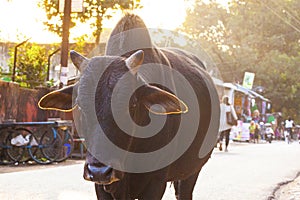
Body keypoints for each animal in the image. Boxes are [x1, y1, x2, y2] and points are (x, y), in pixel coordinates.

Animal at [38, 13, 219, 199]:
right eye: (80, 104)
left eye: (132, 104)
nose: (99, 171)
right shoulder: (101, 186)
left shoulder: (156, 182)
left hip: (192, 171)